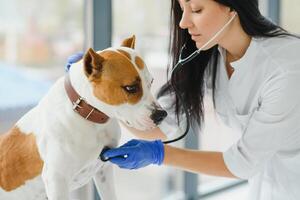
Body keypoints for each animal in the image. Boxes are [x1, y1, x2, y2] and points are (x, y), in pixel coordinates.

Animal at [0, 36, 168, 200]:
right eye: (131, 88)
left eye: (151, 82)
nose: (161, 115)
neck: (89, 115)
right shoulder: (56, 180)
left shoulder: (104, 170)